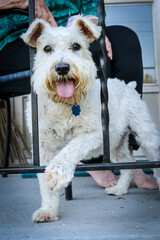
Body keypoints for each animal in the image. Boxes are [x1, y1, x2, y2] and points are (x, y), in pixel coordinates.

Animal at [21, 16, 160, 223]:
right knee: (128, 165)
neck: (64, 103)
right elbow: (45, 184)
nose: (62, 67)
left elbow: (70, 149)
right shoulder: (43, 145)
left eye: (76, 46)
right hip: (116, 145)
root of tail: (128, 85)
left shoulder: (93, 133)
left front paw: (58, 172)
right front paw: (48, 211)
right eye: (47, 48)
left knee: (154, 161)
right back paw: (119, 189)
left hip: (146, 135)